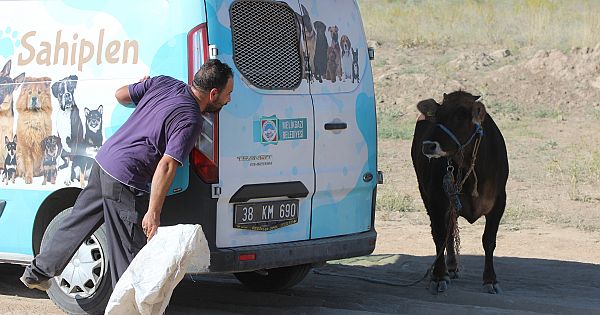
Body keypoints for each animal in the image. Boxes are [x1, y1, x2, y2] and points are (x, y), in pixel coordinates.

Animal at [410, 91, 508, 296]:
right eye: (437, 117)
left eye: (460, 118)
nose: (428, 146)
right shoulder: (437, 201)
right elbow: (439, 236)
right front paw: (439, 276)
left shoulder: (499, 202)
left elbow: (489, 240)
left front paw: (491, 280)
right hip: (426, 194)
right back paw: (450, 267)